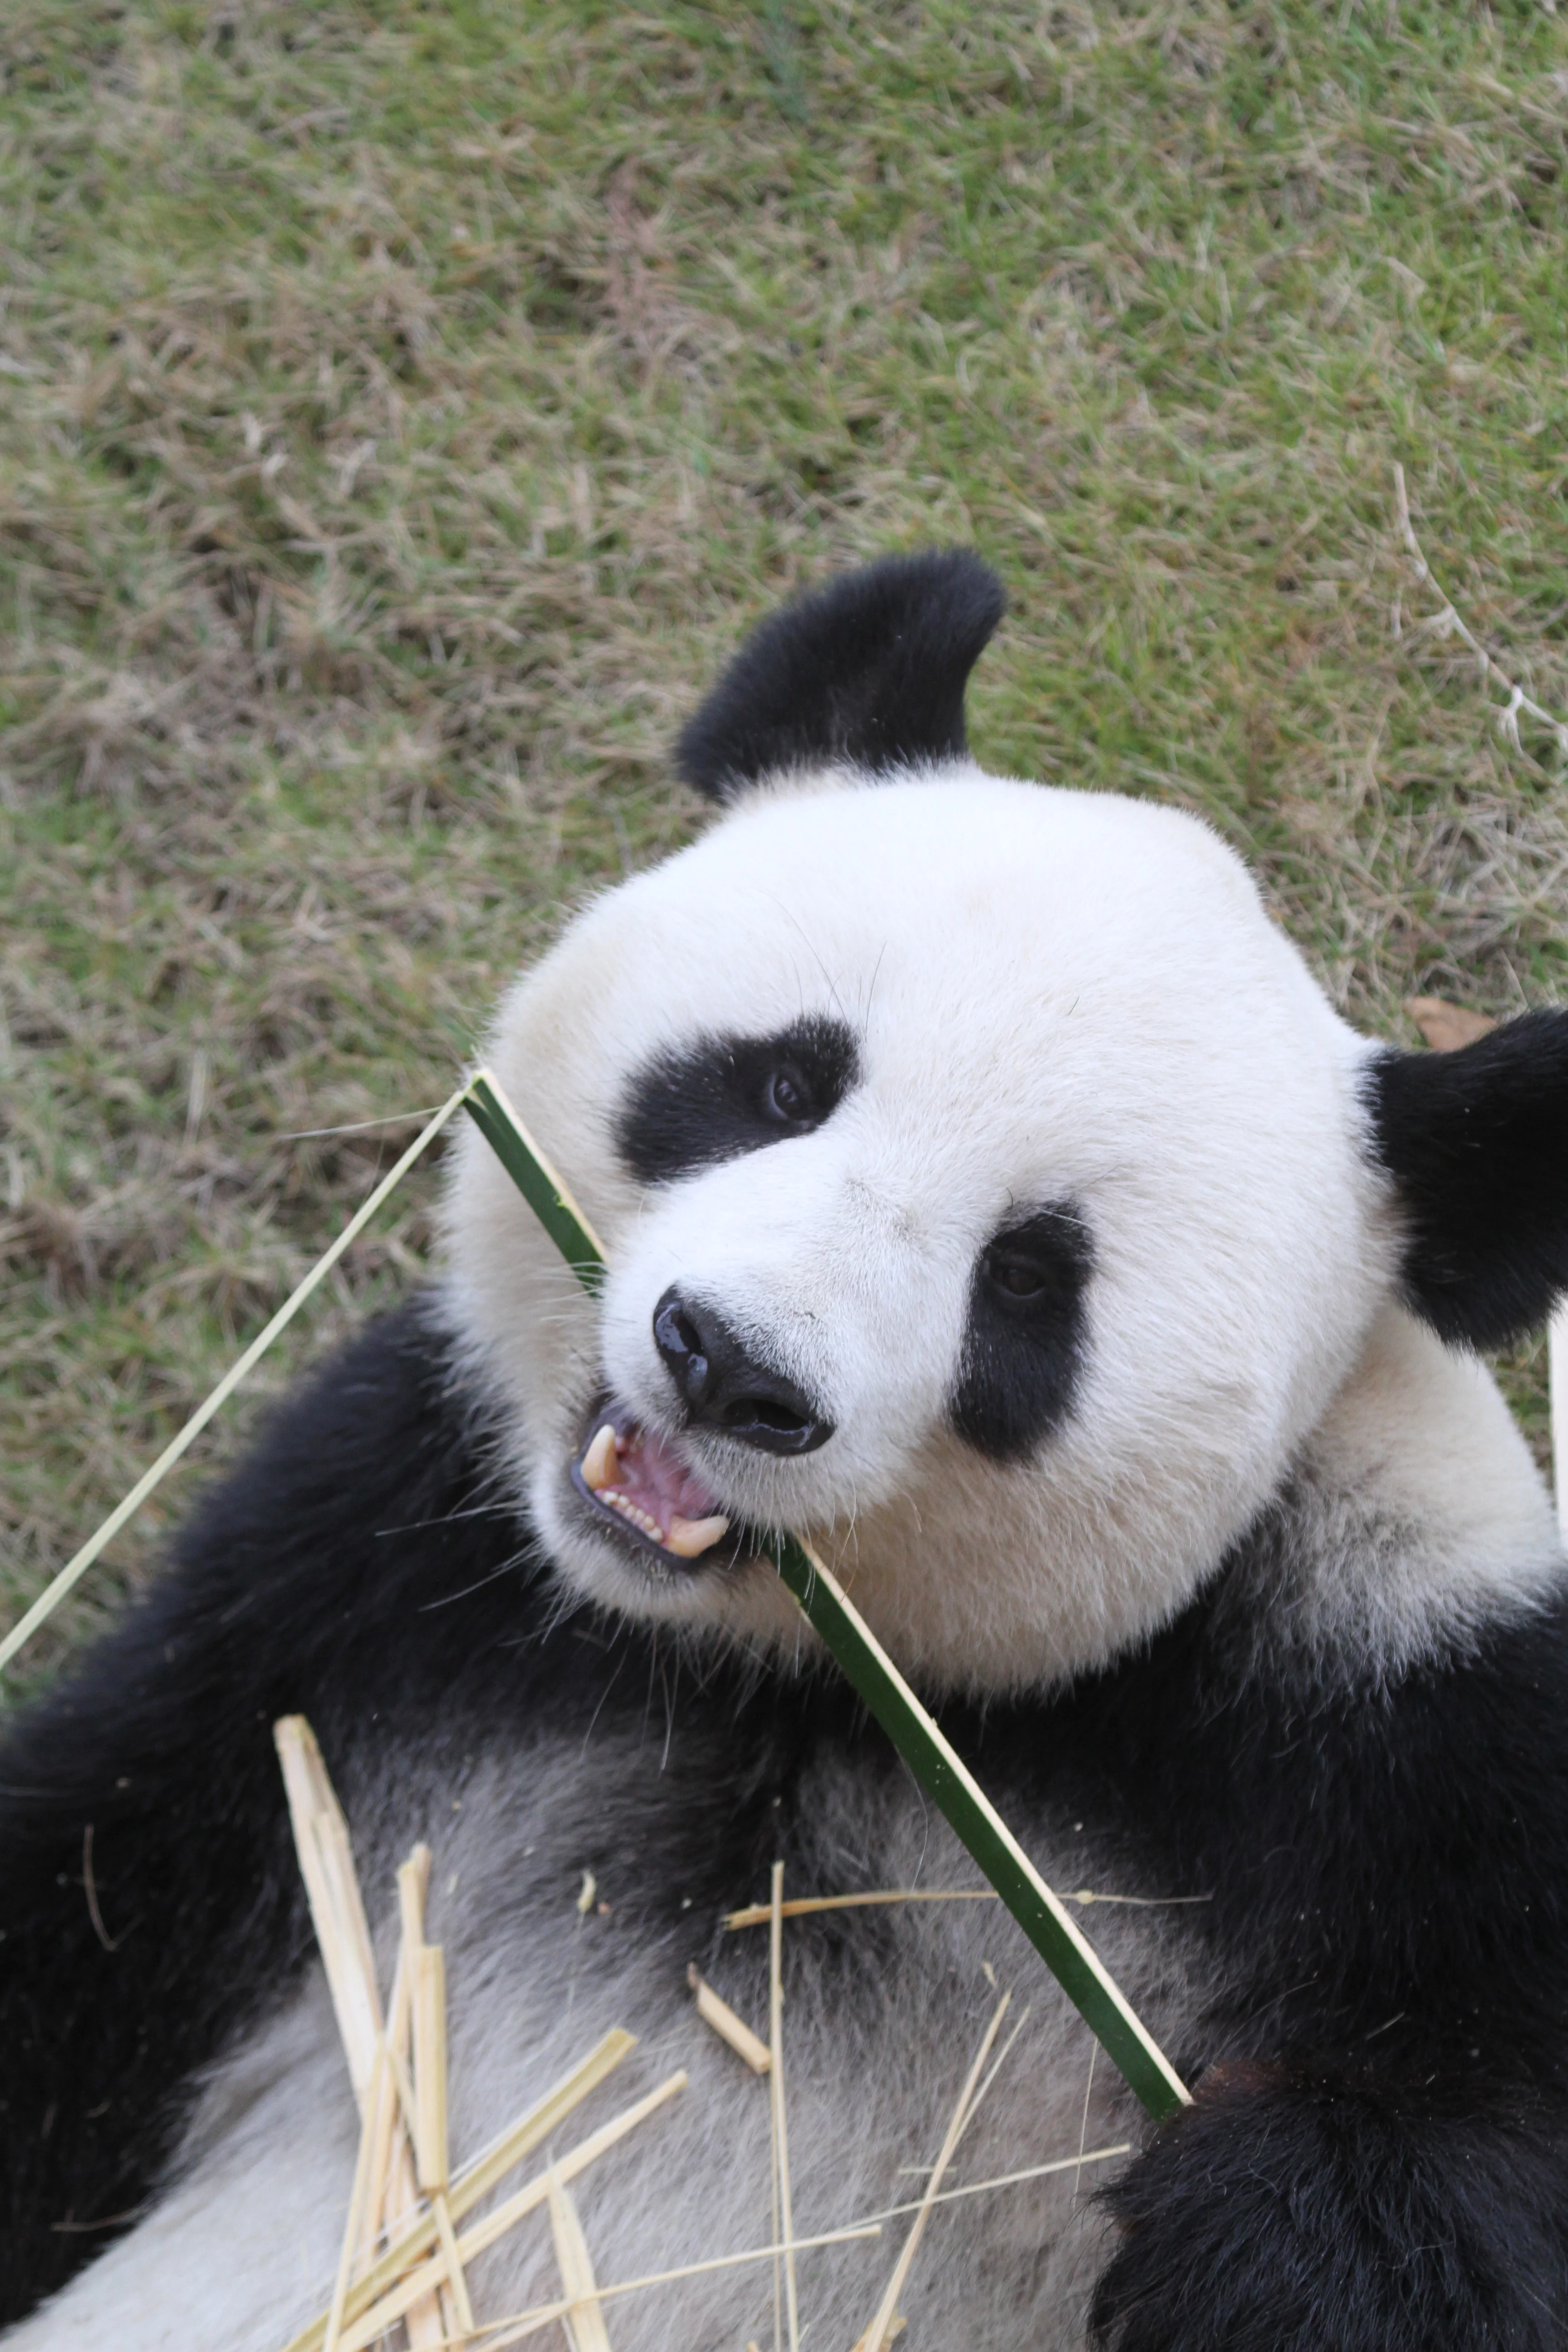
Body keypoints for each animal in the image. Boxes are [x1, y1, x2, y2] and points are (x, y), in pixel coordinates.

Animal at [5, 550, 1568, 2352]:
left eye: (1030, 1279)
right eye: (780, 1082)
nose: (732, 1363)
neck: (812, 1685)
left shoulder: (1403, 1716)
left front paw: (1266, 2229)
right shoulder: (364, 1593)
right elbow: (92, 1894)